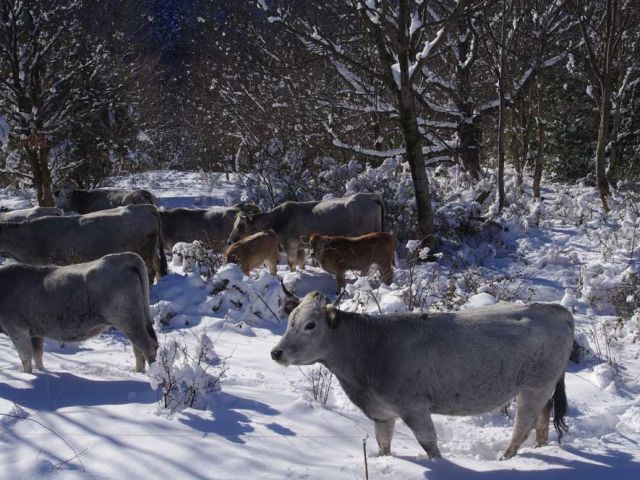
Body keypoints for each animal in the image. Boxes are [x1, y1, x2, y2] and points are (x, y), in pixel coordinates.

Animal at [0, 253, 158, 374]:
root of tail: (123, 256)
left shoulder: (16, 329)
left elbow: (25, 357)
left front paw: (28, 376)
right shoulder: (35, 332)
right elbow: (38, 355)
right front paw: (41, 372)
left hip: (128, 320)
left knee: (148, 348)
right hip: (135, 321)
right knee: (139, 348)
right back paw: (138, 372)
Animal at [228, 195, 382, 270]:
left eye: (240, 226)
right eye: (234, 225)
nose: (230, 241)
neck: (278, 219)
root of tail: (371, 196)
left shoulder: (290, 246)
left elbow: (292, 264)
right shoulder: (300, 247)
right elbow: (301, 263)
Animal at [270, 292, 576, 462]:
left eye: (310, 325)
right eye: (290, 321)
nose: (276, 352)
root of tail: (554, 308)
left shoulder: (413, 407)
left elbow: (428, 443)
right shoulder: (382, 411)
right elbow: (383, 443)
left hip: (536, 386)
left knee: (523, 424)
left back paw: (504, 458)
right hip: (541, 387)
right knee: (543, 416)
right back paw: (541, 448)